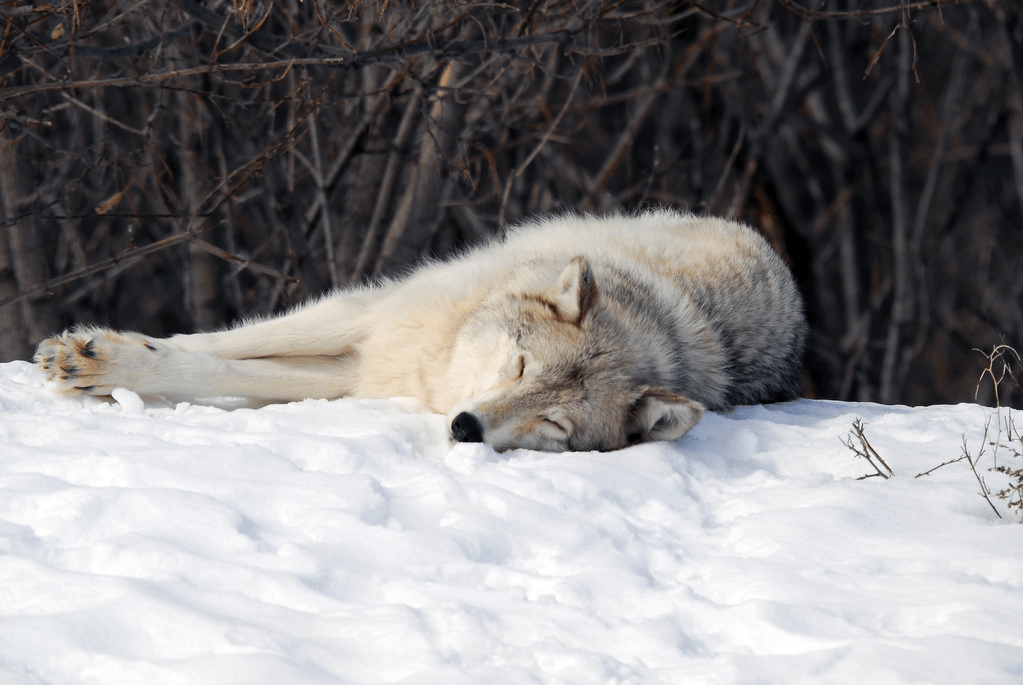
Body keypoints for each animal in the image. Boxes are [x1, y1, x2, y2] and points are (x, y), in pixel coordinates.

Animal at [34, 210, 806, 455]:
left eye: (555, 424)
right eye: (518, 365)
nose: (466, 426)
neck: (439, 373)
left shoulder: (366, 369)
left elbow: (227, 371)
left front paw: (101, 365)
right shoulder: (374, 317)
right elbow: (221, 348)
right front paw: (90, 354)